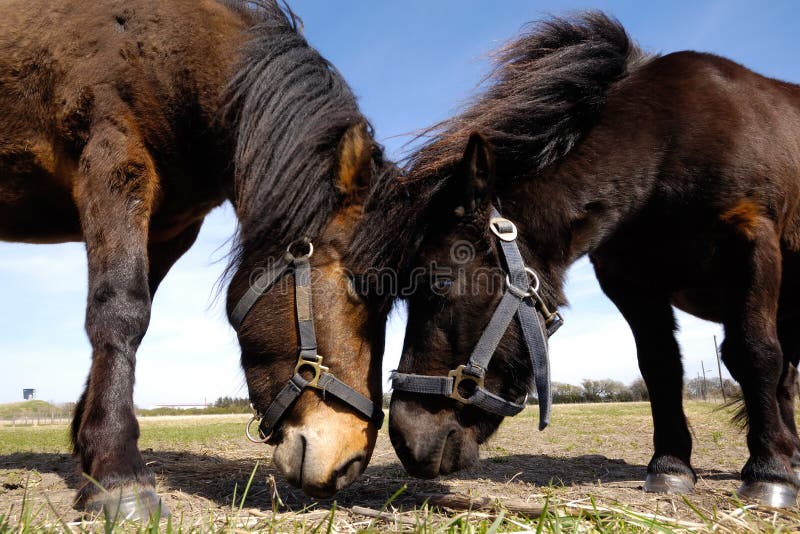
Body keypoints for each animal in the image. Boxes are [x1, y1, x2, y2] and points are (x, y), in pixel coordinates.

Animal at [0, 0, 394, 520]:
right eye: (358, 288)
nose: (349, 462)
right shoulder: (111, 161)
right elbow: (121, 310)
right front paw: (119, 476)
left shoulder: (170, 229)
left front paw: (90, 455)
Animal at [346, 11, 800, 506]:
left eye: (441, 281)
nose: (405, 440)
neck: (668, 145)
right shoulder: (628, 281)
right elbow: (660, 366)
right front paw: (671, 465)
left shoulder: (752, 242)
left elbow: (754, 354)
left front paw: (769, 472)